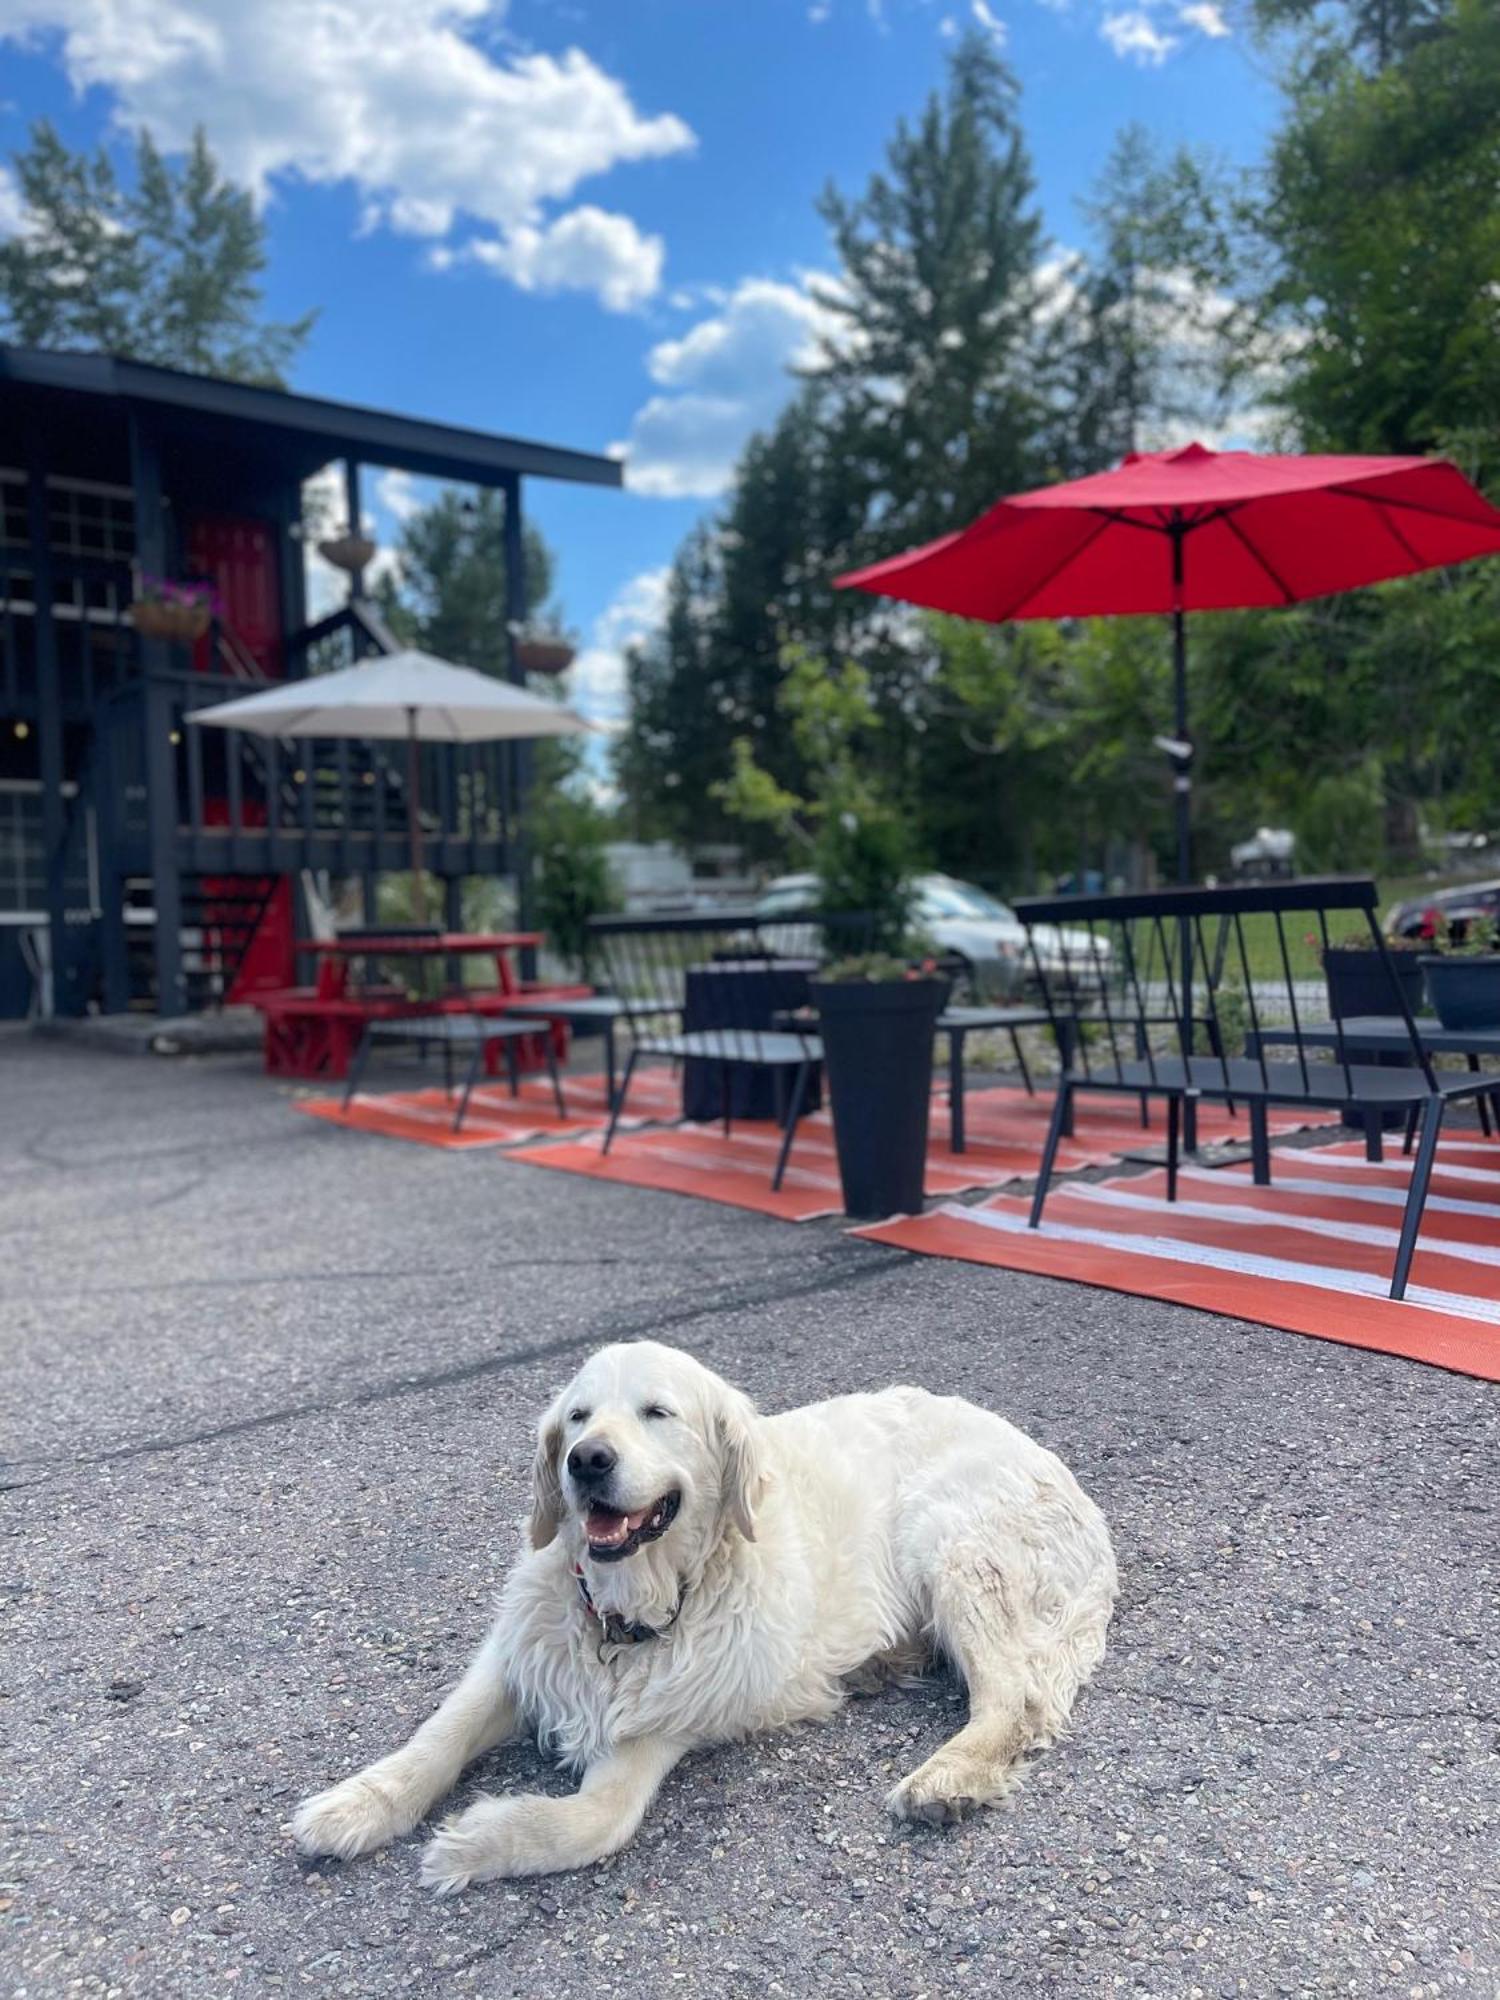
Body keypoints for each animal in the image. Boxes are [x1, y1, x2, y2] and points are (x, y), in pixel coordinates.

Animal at [290, 1344, 1120, 1888]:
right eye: (578, 1417)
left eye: (657, 1412)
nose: (586, 1460)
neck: (624, 1614)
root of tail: (1062, 1473)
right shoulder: (517, 1654)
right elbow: (437, 1738)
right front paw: (356, 1805)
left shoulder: (667, 1719)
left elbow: (597, 1820)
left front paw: (473, 1843)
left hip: (953, 1546)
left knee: (1016, 1697)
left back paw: (950, 1777)